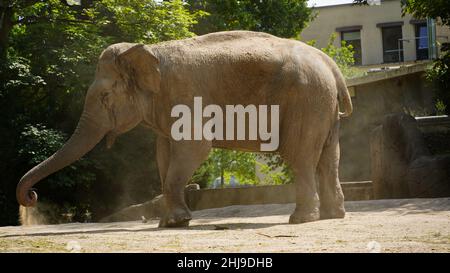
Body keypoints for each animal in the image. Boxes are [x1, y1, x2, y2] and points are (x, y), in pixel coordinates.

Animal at [16, 29, 352, 226]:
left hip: (306, 99)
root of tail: (329, 62)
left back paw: (301, 219)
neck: (149, 50)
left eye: (106, 96)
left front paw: (175, 223)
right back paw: (333, 215)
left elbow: (194, 149)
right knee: (329, 157)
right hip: (323, 105)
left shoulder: (186, 95)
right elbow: (163, 154)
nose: (31, 196)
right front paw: (169, 223)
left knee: (301, 156)